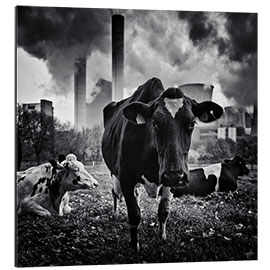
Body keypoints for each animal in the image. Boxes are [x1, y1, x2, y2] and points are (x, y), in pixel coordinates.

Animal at [101, 77, 224, 250]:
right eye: (155, 123)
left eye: (192, 123)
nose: (174, 174)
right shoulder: (126, 177)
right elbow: (134, 213)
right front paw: (134, 245)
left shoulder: (172, 179)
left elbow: (164, 211)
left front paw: (162, 237)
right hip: (114, 173)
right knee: (115, 194)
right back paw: (115, 213)